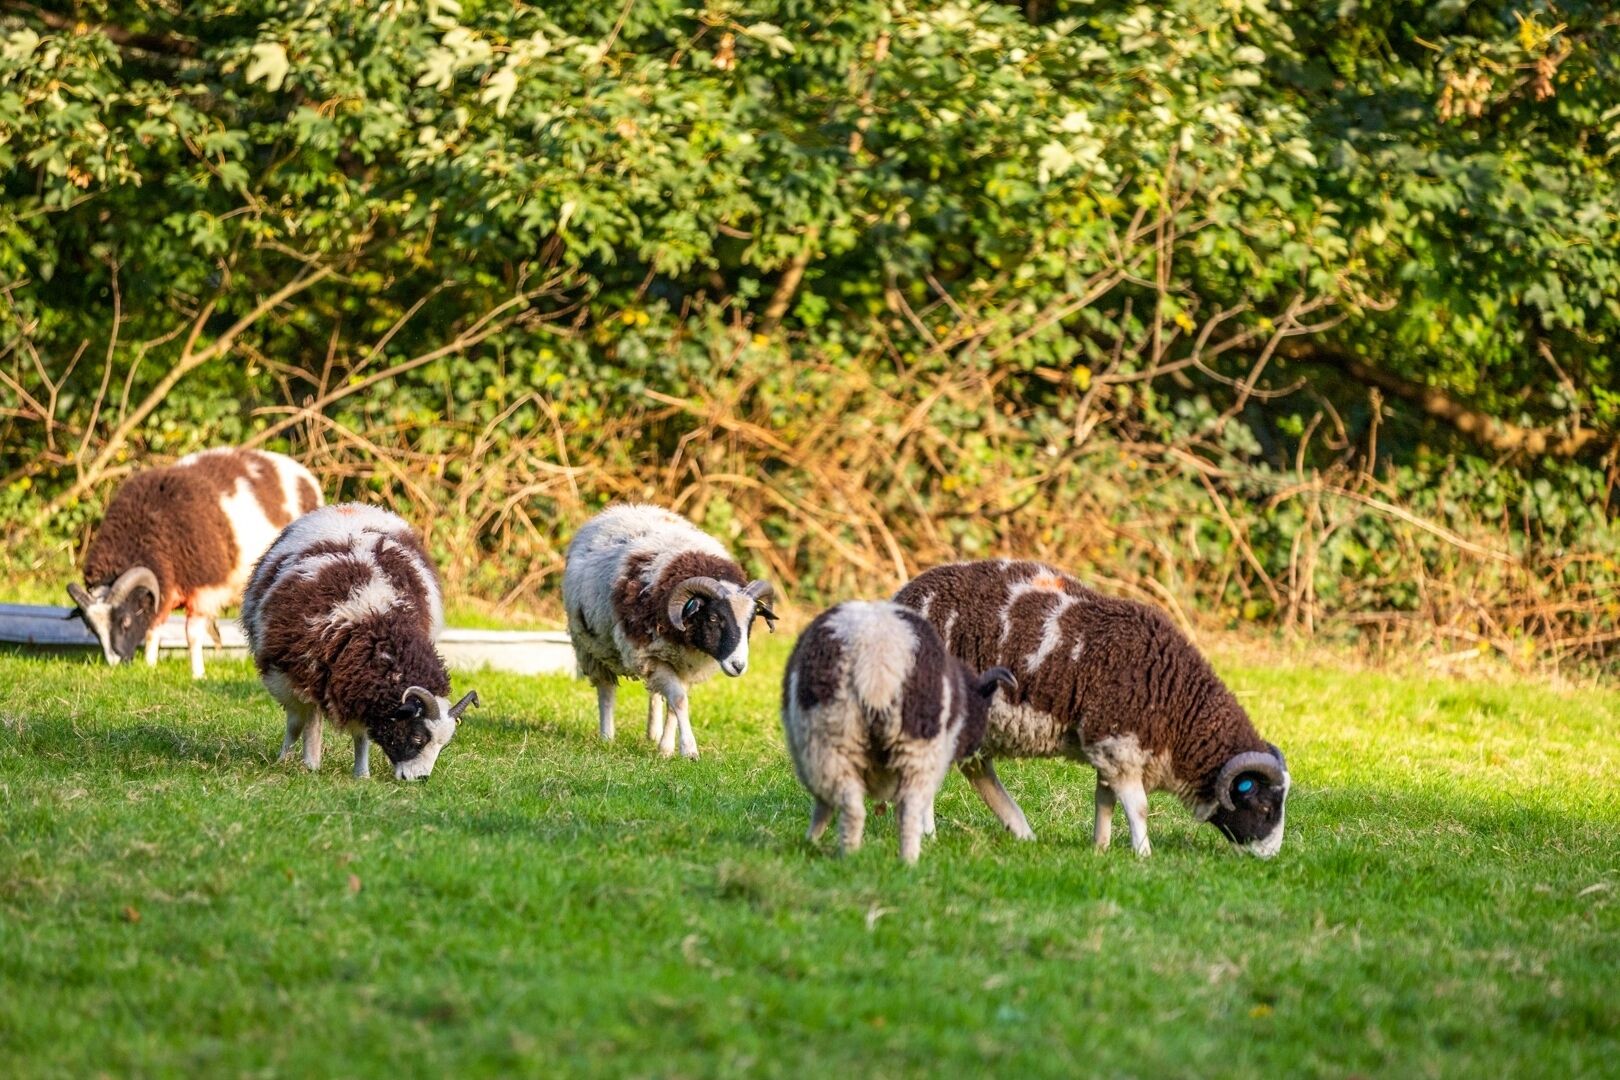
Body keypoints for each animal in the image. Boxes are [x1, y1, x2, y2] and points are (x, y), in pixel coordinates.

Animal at [66, 447, 322, 679]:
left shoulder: (205, 591)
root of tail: (303, 474)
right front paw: (150, 665)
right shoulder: (164, 591)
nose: (116, 663)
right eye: (92, 629)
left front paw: (198, 674)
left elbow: (192, 635)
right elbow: (153, 628)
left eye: (126, 622)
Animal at [240, 503, 478, 781]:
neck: (376, 620)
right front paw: (304, 764)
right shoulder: (295, 675)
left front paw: (361, 774)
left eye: (443, 745)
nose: (420, 779)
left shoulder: (358, 686)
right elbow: (304, 723)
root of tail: (351, 506)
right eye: (418, 737)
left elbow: (361, 734)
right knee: (300, 720)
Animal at [562, 504, 777, 759]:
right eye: (714, 618)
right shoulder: (650, 656)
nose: (738, 666)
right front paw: (689, 751)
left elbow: (675, 705)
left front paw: (665, 748)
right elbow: (679, 700)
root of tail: (621, 509)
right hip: (591, 646)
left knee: (654, 693)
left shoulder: (684, 666)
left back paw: (652, 733)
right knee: (606, 690)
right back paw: (607, 737)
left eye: (751, 621)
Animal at [781, 600, 1016, 864]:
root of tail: (878, 660)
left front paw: (810, 840)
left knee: (857, 807)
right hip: (903, 747)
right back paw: (902, 860)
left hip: (835, 742)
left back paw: (857, 857)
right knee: (903, 809)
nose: (975, 752)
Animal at [894, 560, 1291, 858]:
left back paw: (1020, 832)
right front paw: (1143, 856)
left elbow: (1105, 801)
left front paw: (1100, 849)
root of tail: (903, 596)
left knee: (976, 769)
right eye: (1265, 807)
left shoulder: (1111, 751)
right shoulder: (1118, 741)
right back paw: (929, 833)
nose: (1271, 856)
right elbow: (1139, 806)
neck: (1179, 705)